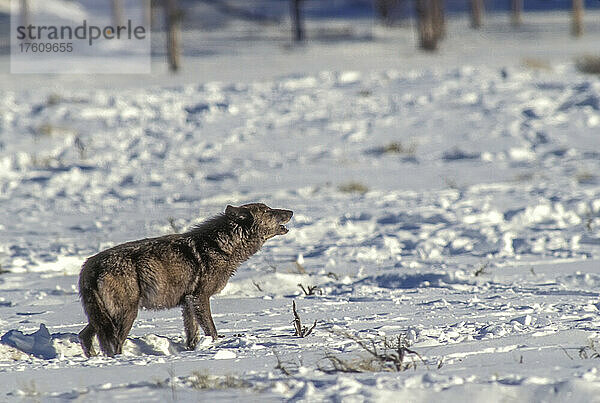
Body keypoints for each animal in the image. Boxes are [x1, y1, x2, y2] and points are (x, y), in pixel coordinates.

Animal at [78, 204, 294, 358]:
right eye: (267, 211)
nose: (291, 211)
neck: (221, 247)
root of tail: (88, 267)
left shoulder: (188, 302)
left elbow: (192, 335)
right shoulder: (200, 297)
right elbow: (211, 330)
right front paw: (214, 346)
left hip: (103, 316)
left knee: (85, 336)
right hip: (126, 314)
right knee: (114, 343)